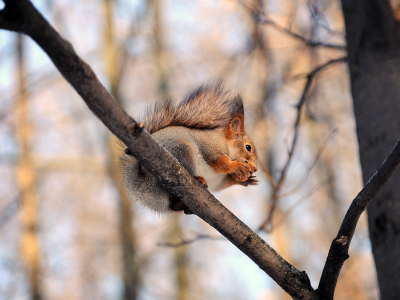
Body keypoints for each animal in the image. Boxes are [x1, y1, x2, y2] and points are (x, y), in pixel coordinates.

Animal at [120, 83, 258, 214]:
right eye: (248, 147)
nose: (256, 168)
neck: (224, 143)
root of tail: (141, 184)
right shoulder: (209, 148)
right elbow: (219, 163)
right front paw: (237, 165)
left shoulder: (217, 180)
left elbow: (222, 184)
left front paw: (243, 180)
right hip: (182, 150)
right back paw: (199, 179)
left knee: (172, 205)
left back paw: (179, 204)